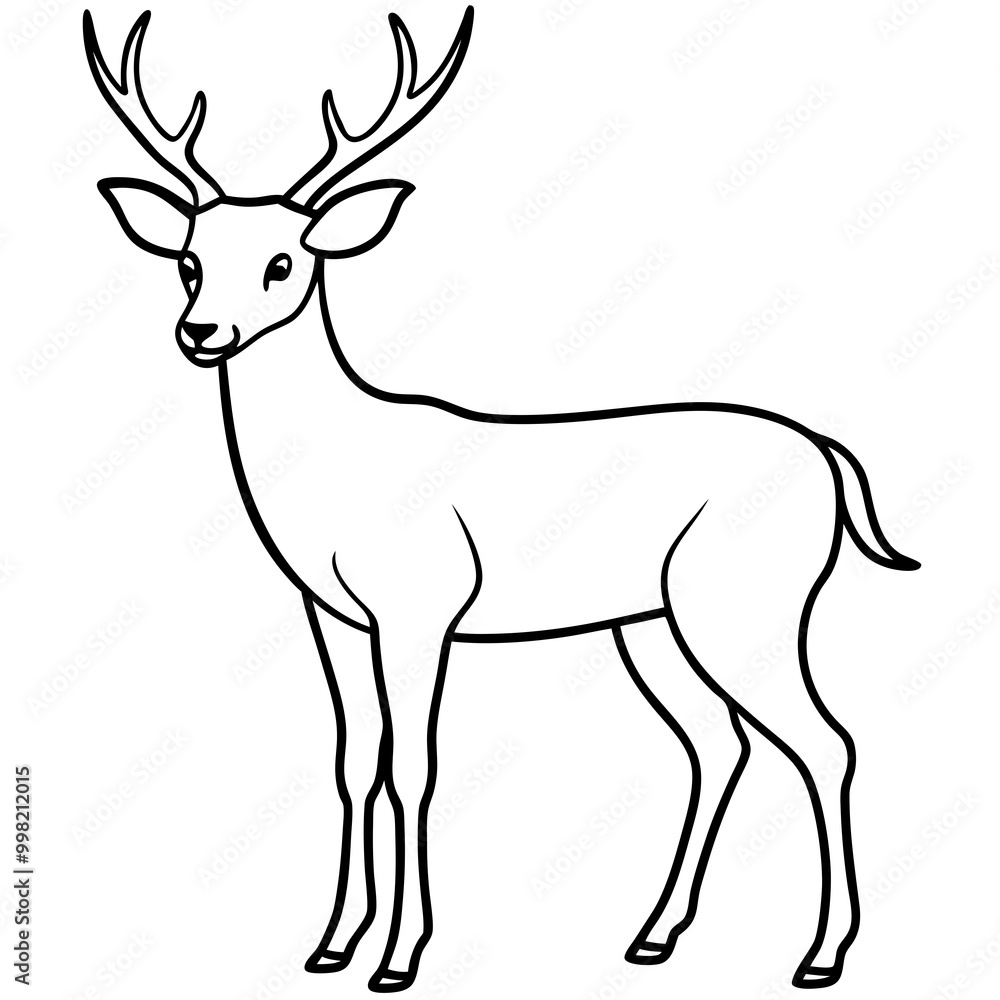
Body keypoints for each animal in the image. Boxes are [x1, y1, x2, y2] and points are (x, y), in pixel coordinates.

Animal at [84, 7, 919, 993]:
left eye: (283, 263)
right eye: (188, 260)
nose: (201, 331)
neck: (336, 471)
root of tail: (829, 458)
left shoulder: (420, 607)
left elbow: (414, 768)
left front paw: (399, 957)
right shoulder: (332, 614)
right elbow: (353, 763)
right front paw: (331, 944)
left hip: (749, 600)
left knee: (825, 742)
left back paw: (820, 955)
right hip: (651, 622)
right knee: (720, 744)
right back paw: (653, 936)